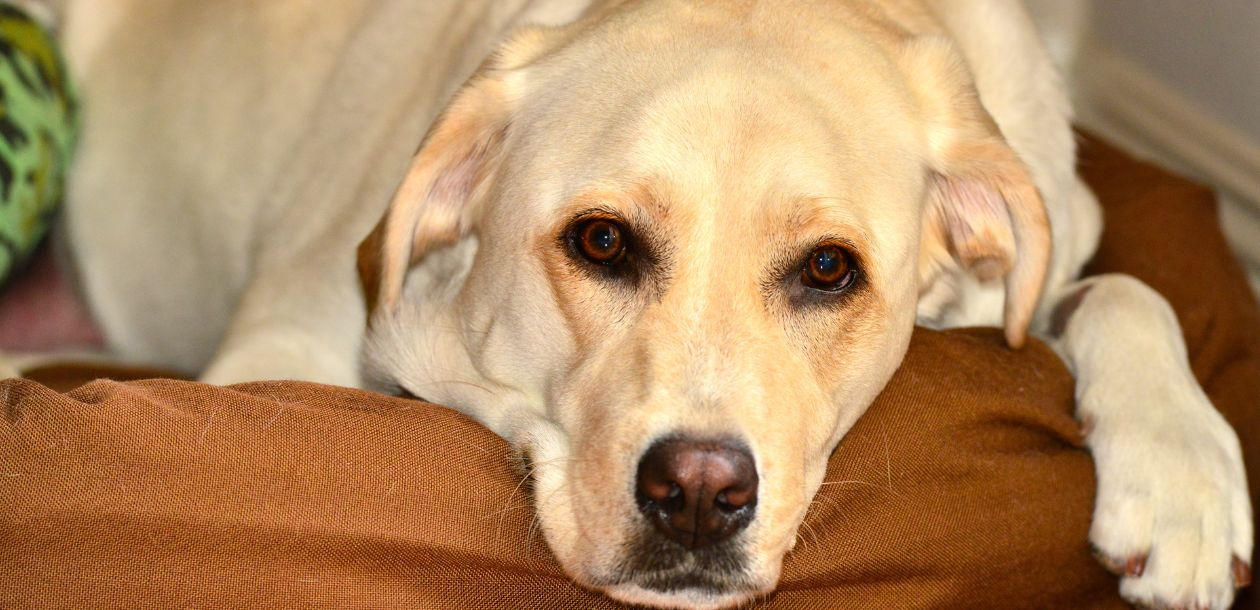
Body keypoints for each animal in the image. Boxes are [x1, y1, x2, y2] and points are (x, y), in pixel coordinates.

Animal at [46, 1, 1249, 610]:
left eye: (829, 270)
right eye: (602, 242)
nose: (699, 497)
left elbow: (1125, 289)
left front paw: (1183, 482)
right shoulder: (281, 341)